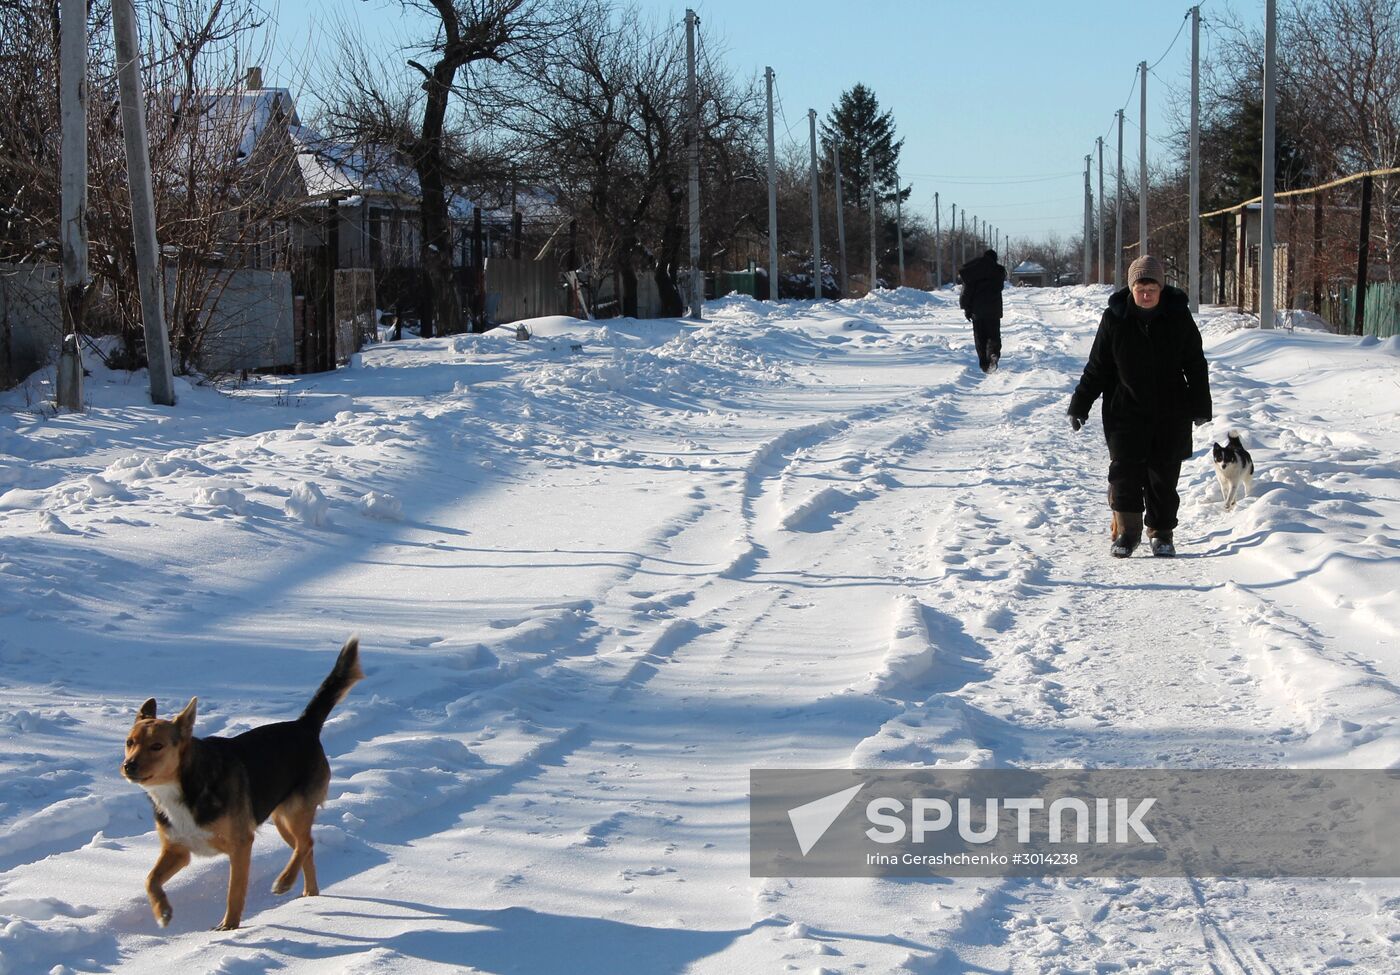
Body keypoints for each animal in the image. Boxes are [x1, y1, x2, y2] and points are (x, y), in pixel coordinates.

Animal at [121, 635, 364, 935]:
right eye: (130, 742)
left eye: (157, 746)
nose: (128, 766)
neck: (184, 786)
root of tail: (304, 726)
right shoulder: (177, 849)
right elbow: (150, 880)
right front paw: (163, 911)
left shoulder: (241, 844)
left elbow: (234, 890)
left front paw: (229, 926)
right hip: (281, 819)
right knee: (305, 847)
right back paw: (309, 893)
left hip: (296, 810)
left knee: (306, 842)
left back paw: (284, 881)